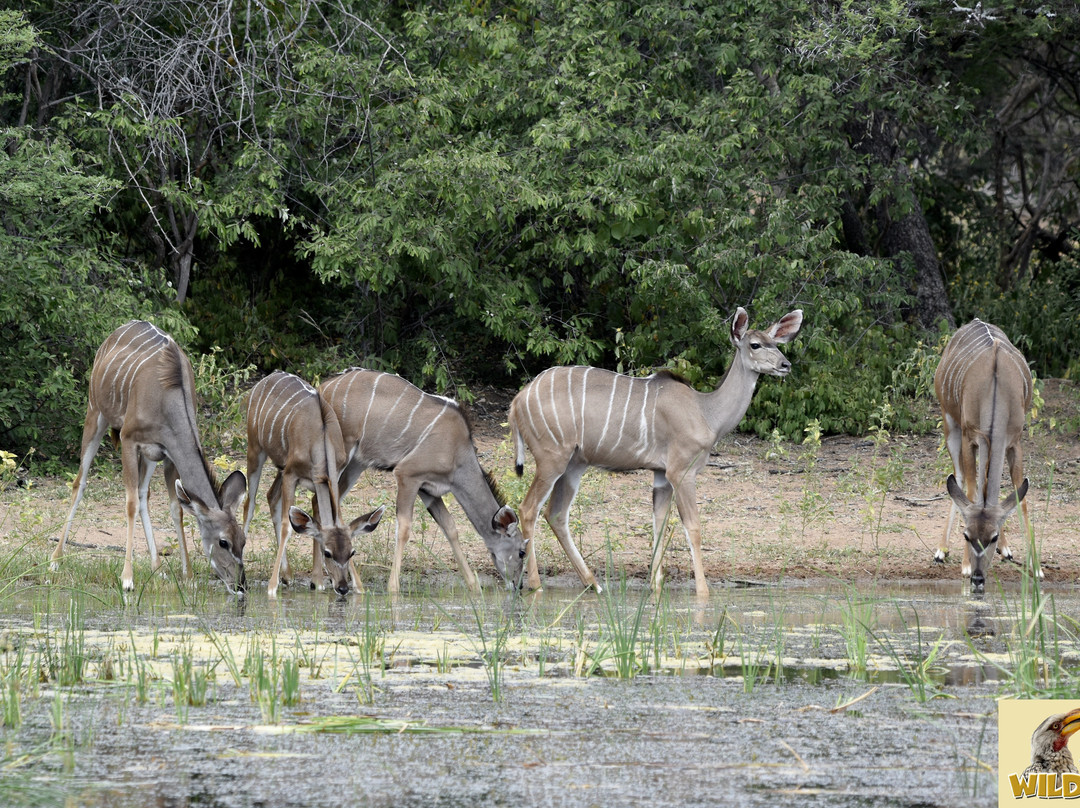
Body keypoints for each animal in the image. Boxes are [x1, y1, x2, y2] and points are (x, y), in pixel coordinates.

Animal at [52, 321, 245, 591]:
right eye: (223, 542)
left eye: (243, 540)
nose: (240, 585)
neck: (167, 399)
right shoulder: (128, 440)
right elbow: (130, 503)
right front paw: (127, 578)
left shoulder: (168, 453)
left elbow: (175, 508)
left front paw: (188, 576)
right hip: (95, 413)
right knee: (80, 483)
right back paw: (55, 559)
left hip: (150, 455)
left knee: (144, 493)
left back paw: (157, 567)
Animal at [243, 371, 386, 591]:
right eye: (328, 552)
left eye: (351, 553)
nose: (342, 587)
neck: (320, 440)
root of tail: (265, 379)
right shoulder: (291, 474)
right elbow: (287, 526)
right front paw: (272, 587)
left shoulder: (327, 478)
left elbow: (321, 520)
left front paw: (319, 583)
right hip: (255, 449)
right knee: (249, 505)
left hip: (279, 466)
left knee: (271, 496)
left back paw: (288, 575)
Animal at [317, 369, 524, 591]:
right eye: (522, 551)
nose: (519, 586)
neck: (457, 452)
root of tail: (322, 388)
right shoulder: (407, 474)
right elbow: (404, 528)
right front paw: (393, 588)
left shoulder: (429, 490)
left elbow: (450, 527)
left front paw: (474, 587)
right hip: (340, 456)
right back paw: (354, 585)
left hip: (357, 462)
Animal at [507, 306, 803, 596]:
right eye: (755, 344)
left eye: (776, 344)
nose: (785, 365)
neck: (706, 412)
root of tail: (518, 400)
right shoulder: (681, 472)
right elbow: (693, 527)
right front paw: (703, 593)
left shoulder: (661, 474)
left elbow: (659, 523)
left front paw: (655, 586)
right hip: (552, 459)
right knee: (528, 509)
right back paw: (536, 585)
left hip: (575, 464)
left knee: (556, 514)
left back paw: (593, 583)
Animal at [928, 319, 1036, 591]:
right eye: (967, 535)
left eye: (993, 537)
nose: (978, 577)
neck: (995, 391)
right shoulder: (970, 437)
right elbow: (968, 491)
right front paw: (964, 564)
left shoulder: (1015, 441)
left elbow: (1019, 496)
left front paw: (1036, 566)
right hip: (949, 422)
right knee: (959, 477)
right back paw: (941, 550)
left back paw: (1007, 551)